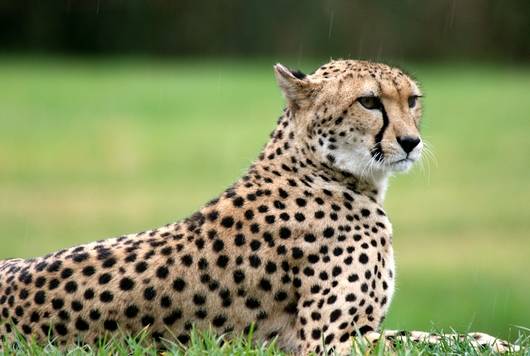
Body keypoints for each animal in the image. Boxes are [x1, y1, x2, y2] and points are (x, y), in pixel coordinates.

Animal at [0, 59, 516, 354]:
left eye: (412, 100)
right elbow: (442, 338)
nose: (411, 142)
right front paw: (501, 344)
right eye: (369, 101)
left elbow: (446, 335)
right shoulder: (332, 341)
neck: (325, 170)